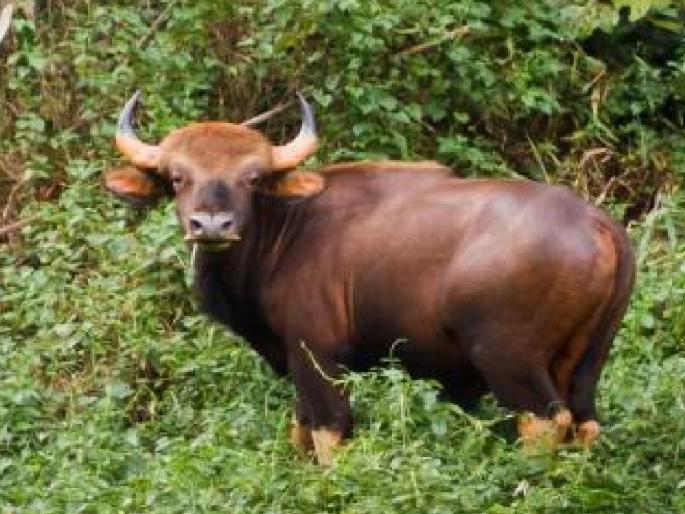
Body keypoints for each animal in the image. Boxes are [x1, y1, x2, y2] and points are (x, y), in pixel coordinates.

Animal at [105, 91, 635, 464]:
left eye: (252, 179)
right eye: (178, 177)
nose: (212, 225)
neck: (283, 232)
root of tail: (597, 224)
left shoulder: (316, 353)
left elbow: (328, 429)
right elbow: (300, 431)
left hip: (507, 357)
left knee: (544, 421)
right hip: (587, 358)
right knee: (584, 421)